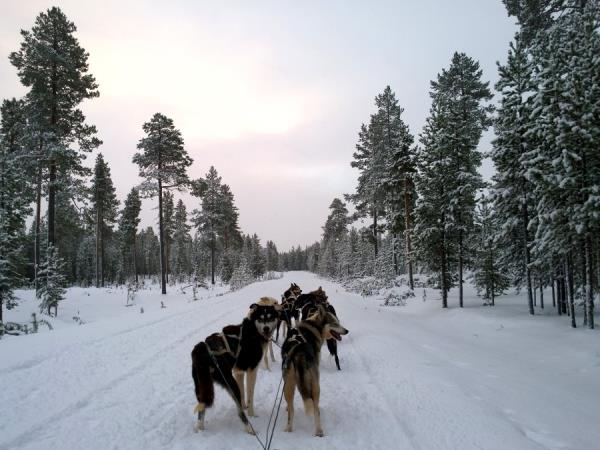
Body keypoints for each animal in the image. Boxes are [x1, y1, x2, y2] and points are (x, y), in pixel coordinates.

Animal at [190, 300, 278, 434]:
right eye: (261, 318)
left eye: (270, 317)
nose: (266, 328)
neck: (253, 331)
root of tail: (201, 349)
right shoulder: (252, 371)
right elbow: (250, 395)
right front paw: (252, 413)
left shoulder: (239, 372)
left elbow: (243, 395)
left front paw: (245, 405)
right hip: (230, 383)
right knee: (239, 413)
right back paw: (250, 429)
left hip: (203, 387)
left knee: (202, 410)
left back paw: (201, 429)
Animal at [280, 302, 346, 436]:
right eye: (335, 323)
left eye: (338, 322)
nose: (346, 331)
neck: (313, 326)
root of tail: (298, 351)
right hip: (316, 385)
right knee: (316, 409)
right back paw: (319, 431)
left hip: (288, 385)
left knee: (292, 411)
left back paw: (289, 429)